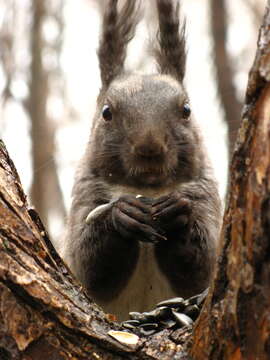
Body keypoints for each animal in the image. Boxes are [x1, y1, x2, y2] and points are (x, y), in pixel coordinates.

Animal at [63, 0, 221, 320]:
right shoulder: (85, 198)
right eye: (106, 112)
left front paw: (176, 213)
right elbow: (90, 267)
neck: (147, 190)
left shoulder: (207, 198)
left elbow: (201, 266)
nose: (150, 148)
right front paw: (122, 214)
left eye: (186, 110)